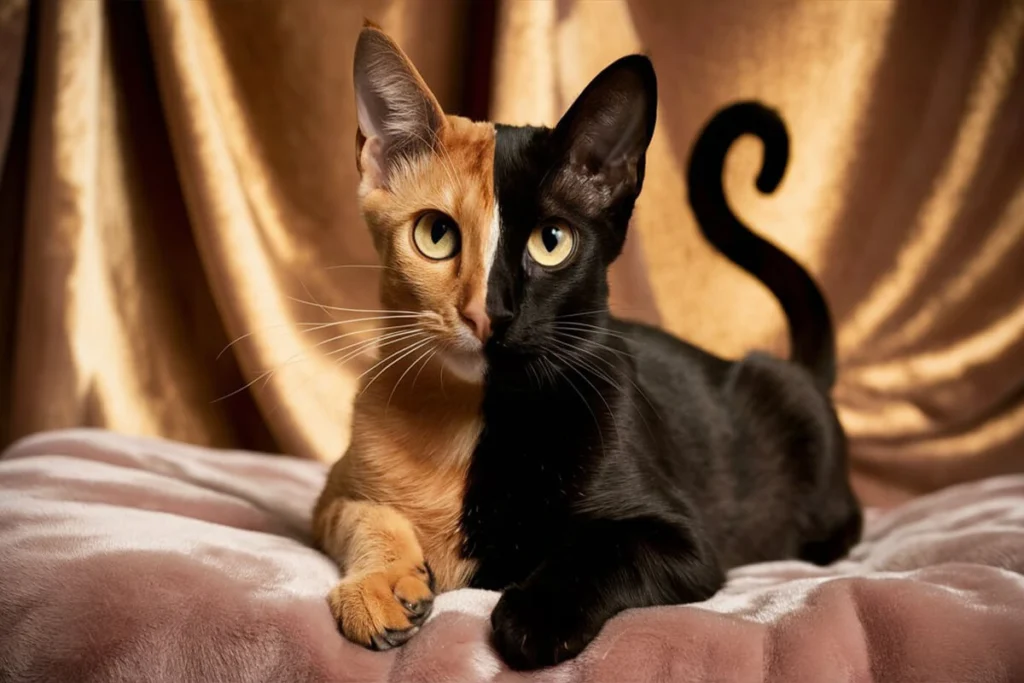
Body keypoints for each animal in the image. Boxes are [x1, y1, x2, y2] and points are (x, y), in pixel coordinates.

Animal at [311, 22, 864, 671]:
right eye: (436, 234)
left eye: (552, 241)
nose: (489, 311)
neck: (475, 422)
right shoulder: (332, 494)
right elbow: (365, 514)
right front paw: (381, 586)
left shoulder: (685, 540)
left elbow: (602, 550)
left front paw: (534, 616)